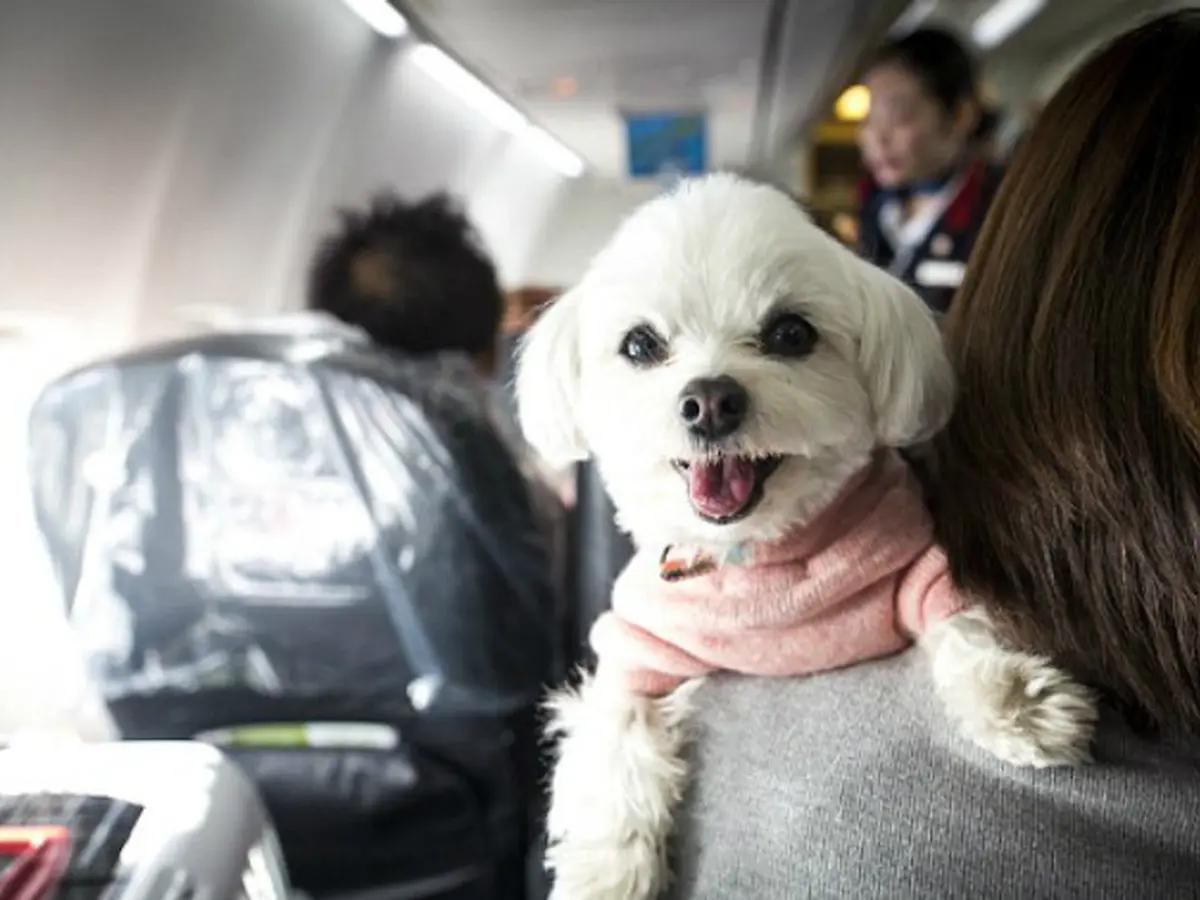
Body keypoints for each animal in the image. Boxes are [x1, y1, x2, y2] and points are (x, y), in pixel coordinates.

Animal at [516, 176, 1099, 900]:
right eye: (640, 345)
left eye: (791, 333)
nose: (710, 401)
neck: (760, 558)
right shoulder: (635, 647)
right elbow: (613, 744)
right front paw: (607, 873)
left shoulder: (916, 562)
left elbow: (962, 621)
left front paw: (1018, 703)